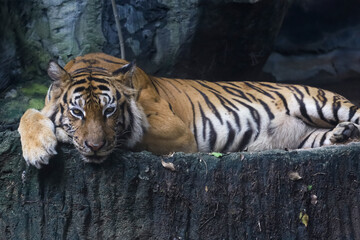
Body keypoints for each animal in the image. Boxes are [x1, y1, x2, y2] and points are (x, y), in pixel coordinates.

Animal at [18, 53, 360, 168]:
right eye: (77, 113)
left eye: (110, 111)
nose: (94, 146)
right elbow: (29, 113)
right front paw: (38, 151)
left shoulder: (177, 132)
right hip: (304, 137)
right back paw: (342, 135)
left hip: (322, 102)